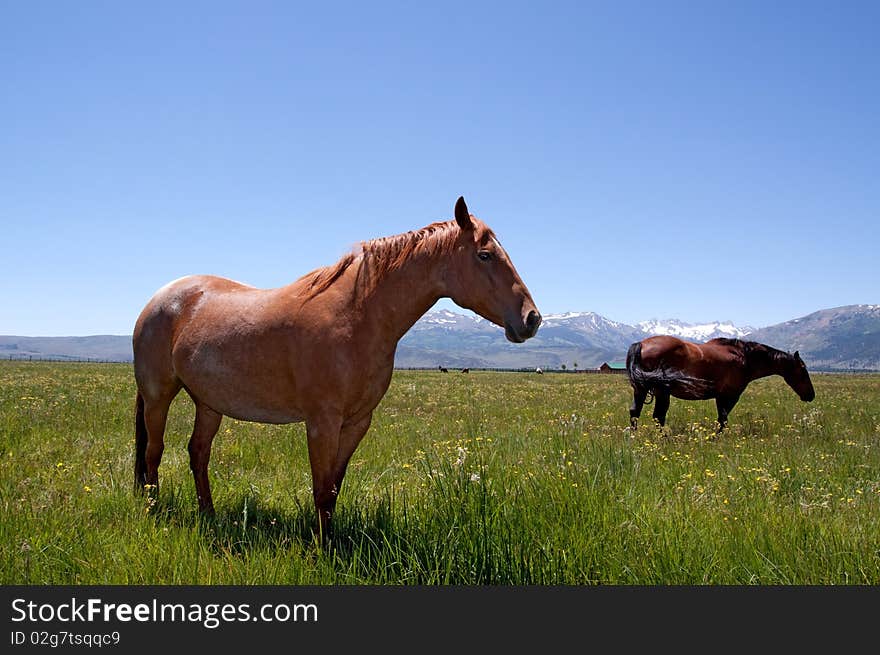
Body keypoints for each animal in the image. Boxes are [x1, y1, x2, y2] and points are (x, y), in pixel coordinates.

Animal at [133, 196, 540, 544]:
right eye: (485, 255)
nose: (531, 319)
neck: (357, 315)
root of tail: (158, 300)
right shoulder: (322, 422)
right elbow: (320, 488)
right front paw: (320, 548)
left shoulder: (357, 422)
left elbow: (333, 487)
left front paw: (329, 541)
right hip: (158, 396)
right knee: (153, 452)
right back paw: (153, 510)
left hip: (209, 403)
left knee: (198, 454)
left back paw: (209, 514)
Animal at [628, 338, 816, 430]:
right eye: (803, 371)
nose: (811, 395)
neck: (745, 358)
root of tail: (642, 344)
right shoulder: (729, 396)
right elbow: (723, 420)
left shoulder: (721, 397)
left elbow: (721, 419)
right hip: (661, 391)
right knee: (658, 416)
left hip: (641, 389)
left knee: (636, 412)